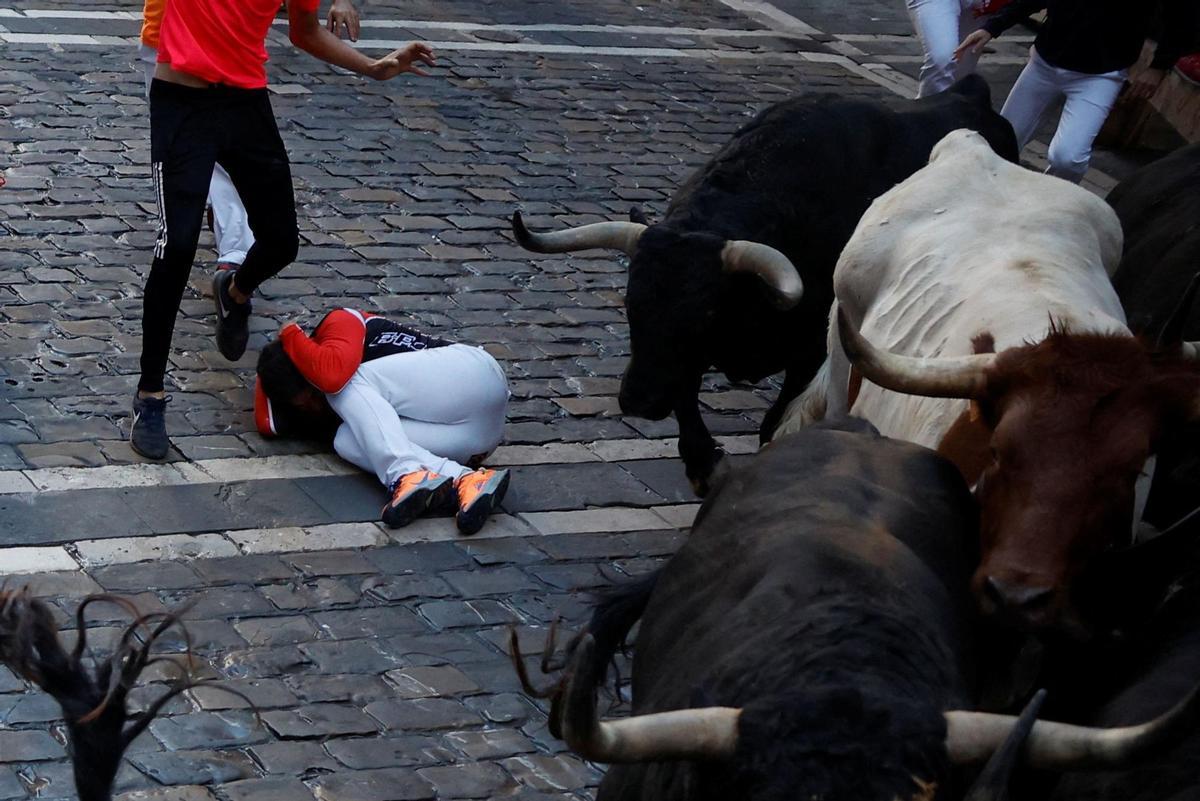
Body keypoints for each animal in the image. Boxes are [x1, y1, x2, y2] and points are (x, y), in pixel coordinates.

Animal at [511, 77, 1017, 496]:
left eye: (705, 313)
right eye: (630, 302)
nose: (639, 399)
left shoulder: (811, 350)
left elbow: (773, 421)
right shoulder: (683, 360)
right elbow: (686, 401)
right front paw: (704, 466)